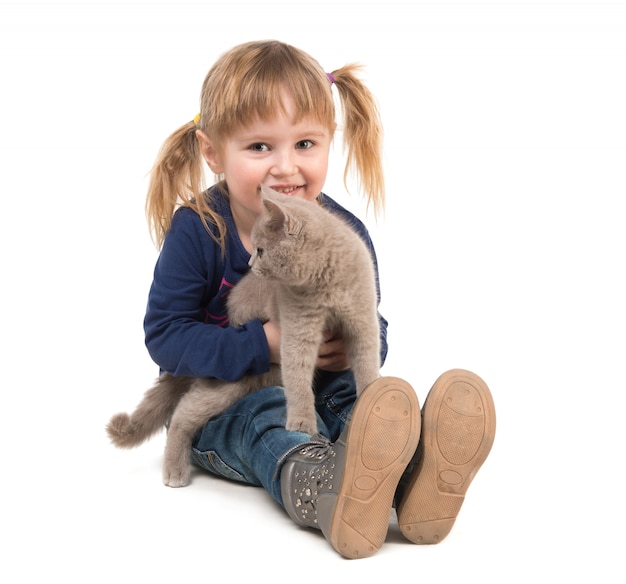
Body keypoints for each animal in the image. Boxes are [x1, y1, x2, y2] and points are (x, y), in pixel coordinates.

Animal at [106, 188, 378, 488]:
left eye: (260, 251)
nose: (250, 263)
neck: (326, 279)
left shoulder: (363, 318)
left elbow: (368, 363)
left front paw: (372, 398)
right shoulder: (298, 325)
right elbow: (297, 375)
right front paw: (301, 422)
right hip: (233, 377)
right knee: (185, 412)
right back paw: (175, 473)